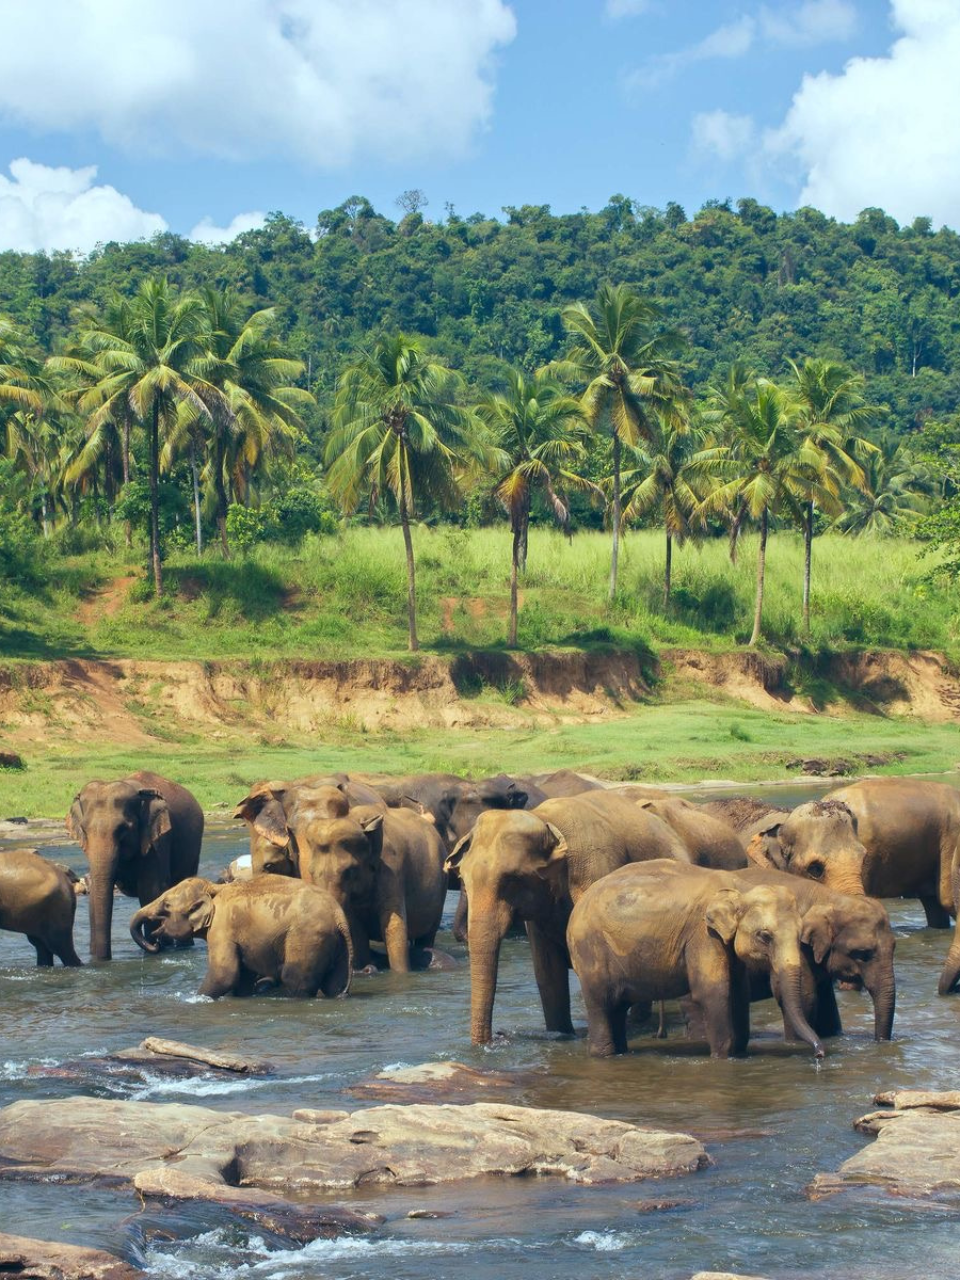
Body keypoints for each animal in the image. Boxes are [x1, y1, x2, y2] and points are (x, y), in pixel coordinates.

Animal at [130, 876, 352, 998]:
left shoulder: (222, 928)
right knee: (335, 985)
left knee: (295, 979)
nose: (155, 944)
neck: (213, 888)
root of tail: (338, 915)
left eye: (166, 906)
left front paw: (196, 999)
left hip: (307, 937)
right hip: (336, 943)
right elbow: (242, 978)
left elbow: (225, 974)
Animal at [290, 804, 447, 972]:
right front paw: (364, 965)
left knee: (428, 935)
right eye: (311, 872)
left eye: (349, 871)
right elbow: (357, 928)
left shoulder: (392, 870)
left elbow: (394, 925)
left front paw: (401, 973)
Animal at [444, 790, 692, 1045]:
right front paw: (560, 1033)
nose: (497, 1037)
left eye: (511, 880)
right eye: (463, 881)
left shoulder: (596, 871)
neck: (545, 820)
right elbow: (548, 972)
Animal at [567, 859, 825, 1059]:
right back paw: (604, 1055)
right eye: (764, 936)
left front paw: (740, 1053)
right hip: (590, 952)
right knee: (601, 1003)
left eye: (800, 933)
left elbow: (740, 991)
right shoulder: (703, 934)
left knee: (617, 1007)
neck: (739, 888)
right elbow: (713, 991)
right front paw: (723, 1057)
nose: (820, 1054)